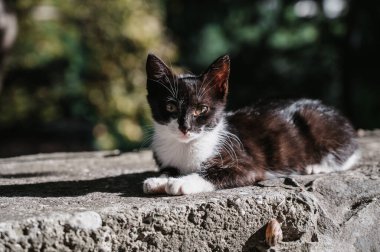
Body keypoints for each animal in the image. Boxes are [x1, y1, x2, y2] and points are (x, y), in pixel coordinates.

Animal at [142, 54, 360, 196]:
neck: (186, 147)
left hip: (314, 118)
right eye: (170, 106)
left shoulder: (248, 164)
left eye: (201, 109)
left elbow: (217, 173)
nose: (185, 127)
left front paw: (182, 182)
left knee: (351, 152)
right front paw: (160, 179)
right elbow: (170, 169)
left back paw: (318, 166)